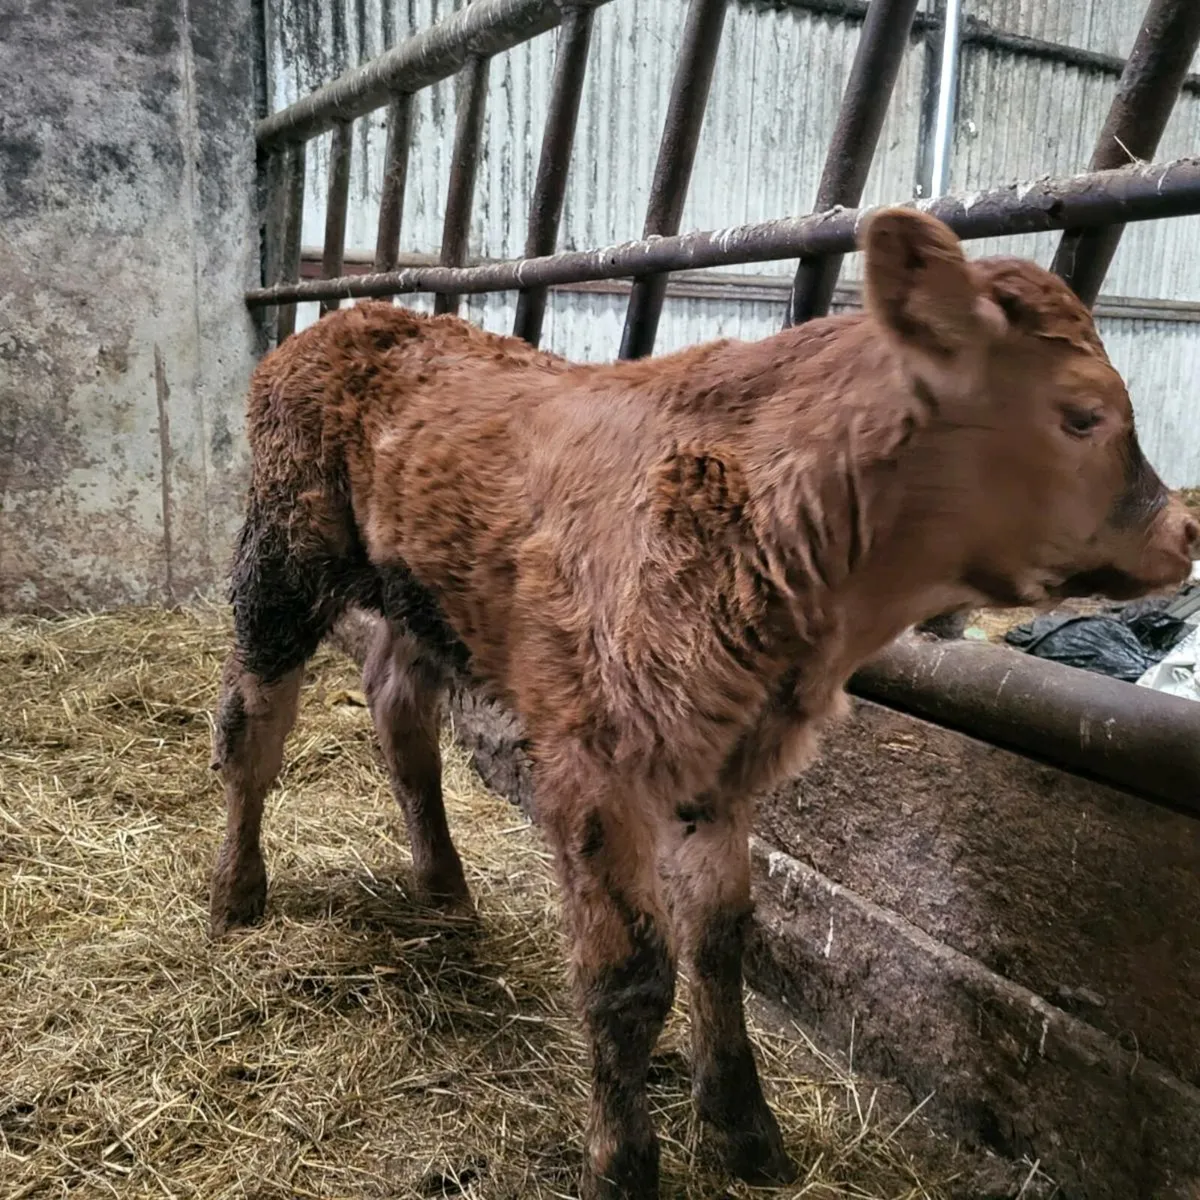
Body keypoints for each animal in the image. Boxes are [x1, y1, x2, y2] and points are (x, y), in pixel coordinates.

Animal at [209, 208, 1198, 1200]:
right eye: (1083, 414)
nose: (1184, 530)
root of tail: (351, 319)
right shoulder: (596, 768)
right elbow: (631, 977)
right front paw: (622, 1163)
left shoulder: (724, 764)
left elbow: (720, 940)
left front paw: (746, 1127)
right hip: (282, 560)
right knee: (253, 726)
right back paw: (237, 894)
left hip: (423, 602)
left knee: (396, 707)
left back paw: (446, 889)